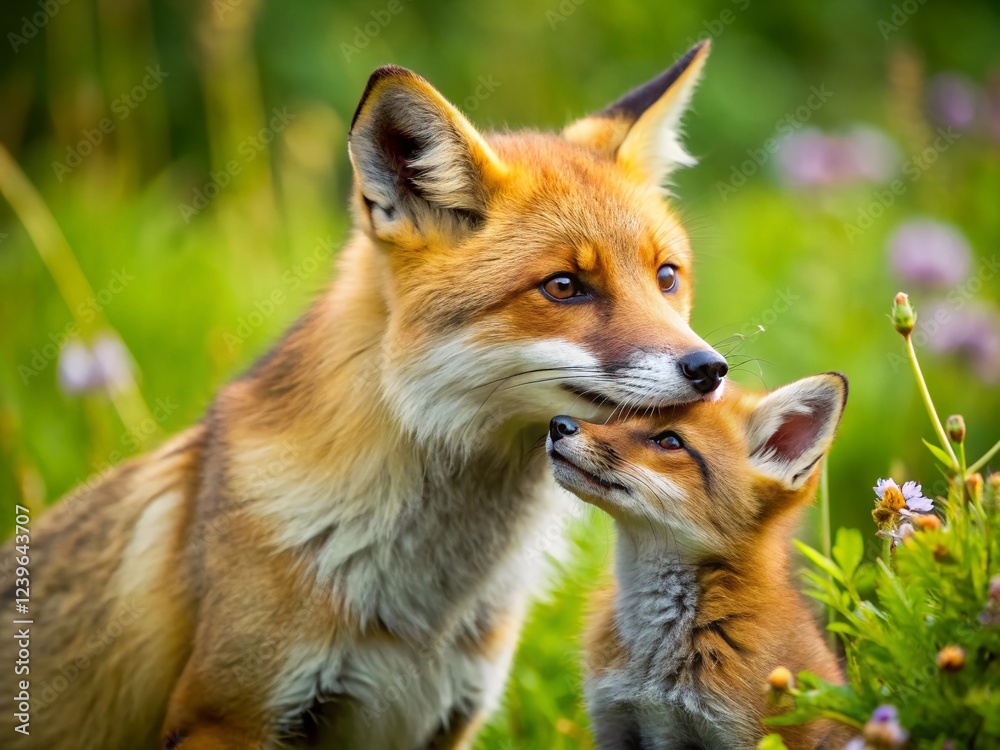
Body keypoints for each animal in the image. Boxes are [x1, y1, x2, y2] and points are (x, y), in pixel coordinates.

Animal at [0, 42, 728, 750]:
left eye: (667, 276)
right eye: (564, 287)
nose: (710, 369)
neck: (425, 610)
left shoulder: (447, 721)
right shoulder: (224, 715)